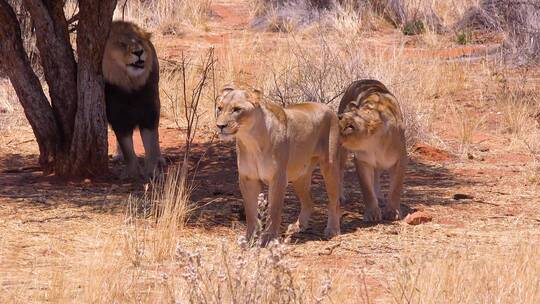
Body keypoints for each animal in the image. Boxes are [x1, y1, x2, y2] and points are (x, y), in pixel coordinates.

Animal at [102, 20, 163, 178]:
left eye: (140, 41)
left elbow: (151, 144)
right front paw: (132, 172)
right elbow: (127, 147)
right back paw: (118, 156)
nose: (139, 52)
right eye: (122, 44)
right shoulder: (119, 117)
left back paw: (161, 159)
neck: (130, 85)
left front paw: (153, 171)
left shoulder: (149, 112)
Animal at [216, 85, 340, 245]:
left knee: (334, 201)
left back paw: (333, 229)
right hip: (300, 175)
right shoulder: (247, 179)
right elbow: (250, 212)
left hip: (329, 165)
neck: (250, 140)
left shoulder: (278, 178)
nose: (220, 126)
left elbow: (273, 211)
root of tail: (328, 107)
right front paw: (249, 239)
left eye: (237, 109)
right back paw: (298, 226)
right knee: (309, 201)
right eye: (219, 108)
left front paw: (269, 239)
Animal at [336, 79, 408, 222]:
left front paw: (393, 212)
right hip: (342, 152)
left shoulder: (401, 160)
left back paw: (379, 197)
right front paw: (372, 213)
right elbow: (367, 190)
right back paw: (340, 197)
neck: (374, 144)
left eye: (350, 126)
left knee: (376, 175)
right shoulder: (362, 161)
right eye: (338, 120)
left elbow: (396, 187)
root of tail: (362, 80)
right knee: (340, 171)